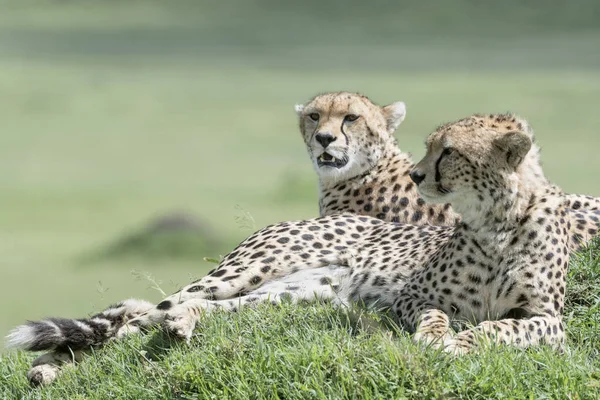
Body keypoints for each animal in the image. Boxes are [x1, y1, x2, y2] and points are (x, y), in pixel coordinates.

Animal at [7, 112, 576, 384]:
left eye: (449, 151)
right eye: (430, 146)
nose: (417, 175)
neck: (498, 220)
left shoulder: (549, 318)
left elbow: (507, 326)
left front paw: (465, 341)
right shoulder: (412, 298)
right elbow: (437, 315)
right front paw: (441, 337)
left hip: (294, 296)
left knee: (180, 315)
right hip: (250, 269)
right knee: (140, 317)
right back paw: (52, 367)